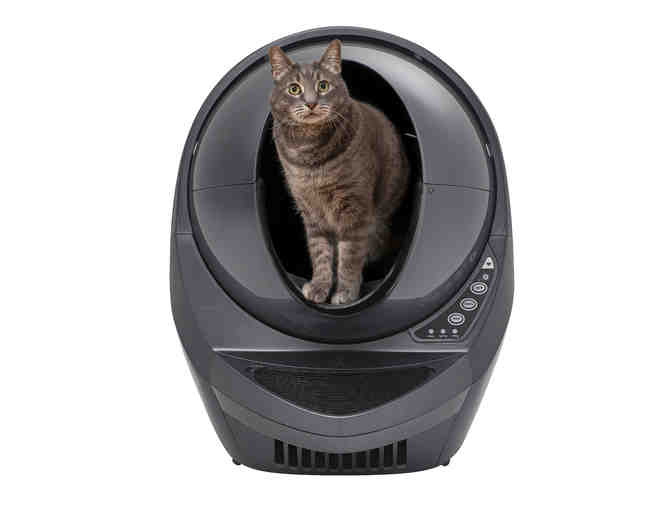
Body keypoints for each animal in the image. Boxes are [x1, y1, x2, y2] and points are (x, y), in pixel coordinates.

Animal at [268, 40, 409, 305]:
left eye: (323, 85)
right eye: (294, 89)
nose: (311, 102)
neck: (309, 153)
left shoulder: (354, 208)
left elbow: (350, 256)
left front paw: (345, 292)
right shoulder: (310, 211)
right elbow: (321, 253)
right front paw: (320, 287)